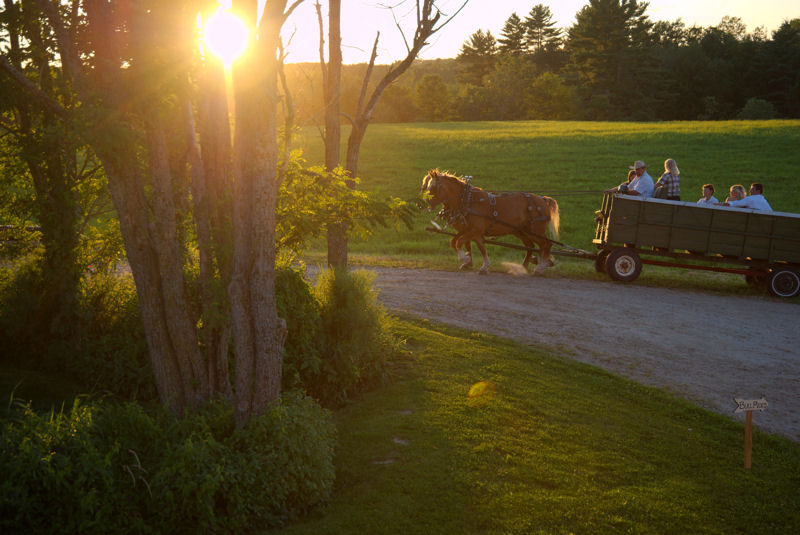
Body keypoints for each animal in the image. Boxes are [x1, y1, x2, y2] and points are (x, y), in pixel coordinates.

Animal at [422, 169, 560, 276]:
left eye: (433, 188)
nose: (425, 204)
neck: (468, 201)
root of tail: (543, 199)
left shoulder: (475, 230)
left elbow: (459, 242)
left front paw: (464, 258)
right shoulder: (472, 231)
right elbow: (470, 245)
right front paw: (483, 266)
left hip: (535, 230)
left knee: (546, 245)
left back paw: (541, 267)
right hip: (521, 231)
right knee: (531, 246)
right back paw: (524, 266)